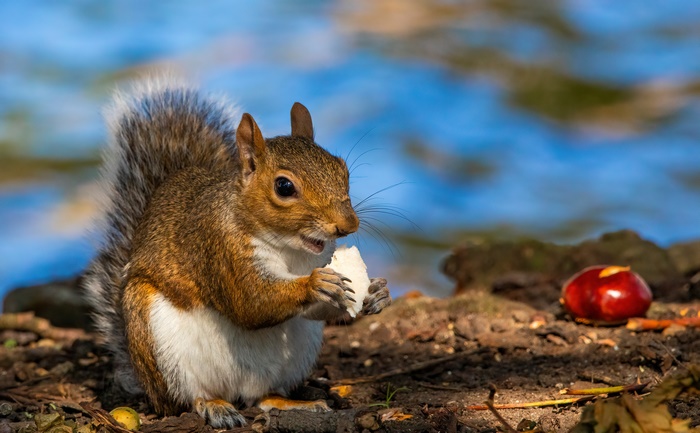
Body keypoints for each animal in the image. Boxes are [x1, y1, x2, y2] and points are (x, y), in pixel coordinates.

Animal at [83, 80, 392, 428]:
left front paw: (377, 294)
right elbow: (249, 303)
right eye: (284, 187)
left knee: (262, 397)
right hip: (159, 346)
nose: (348, 225)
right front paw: (314, 285)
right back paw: (213, 406)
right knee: (187, 398)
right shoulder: (217, 247)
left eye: (343, 170)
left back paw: (292, 403)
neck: (289, 249)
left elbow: (312, 310)